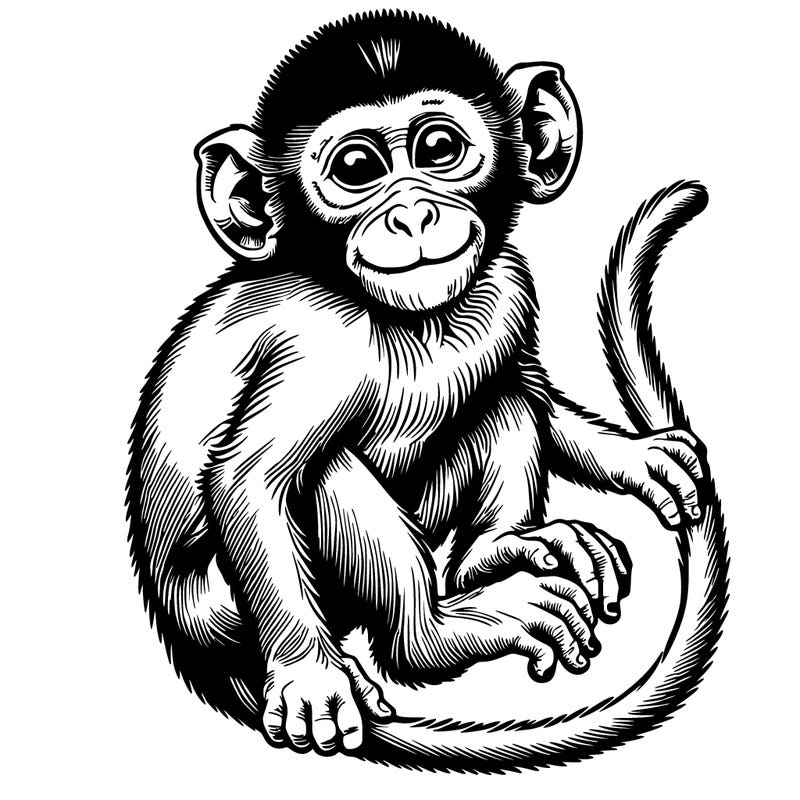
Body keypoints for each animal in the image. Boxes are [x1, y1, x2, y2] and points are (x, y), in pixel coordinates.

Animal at [127, 12, 727, 772]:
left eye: (439, 149)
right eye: (357, 171)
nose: (411, 216)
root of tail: (190, 641)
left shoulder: (507, 286)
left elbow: (529, 389)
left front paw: (637, 458)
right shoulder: (317, 347)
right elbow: (251, 481)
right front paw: (310, 676)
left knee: (501, 398)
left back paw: (497, 553)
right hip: (222, 611)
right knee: (329, 476)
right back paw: (433, 636)